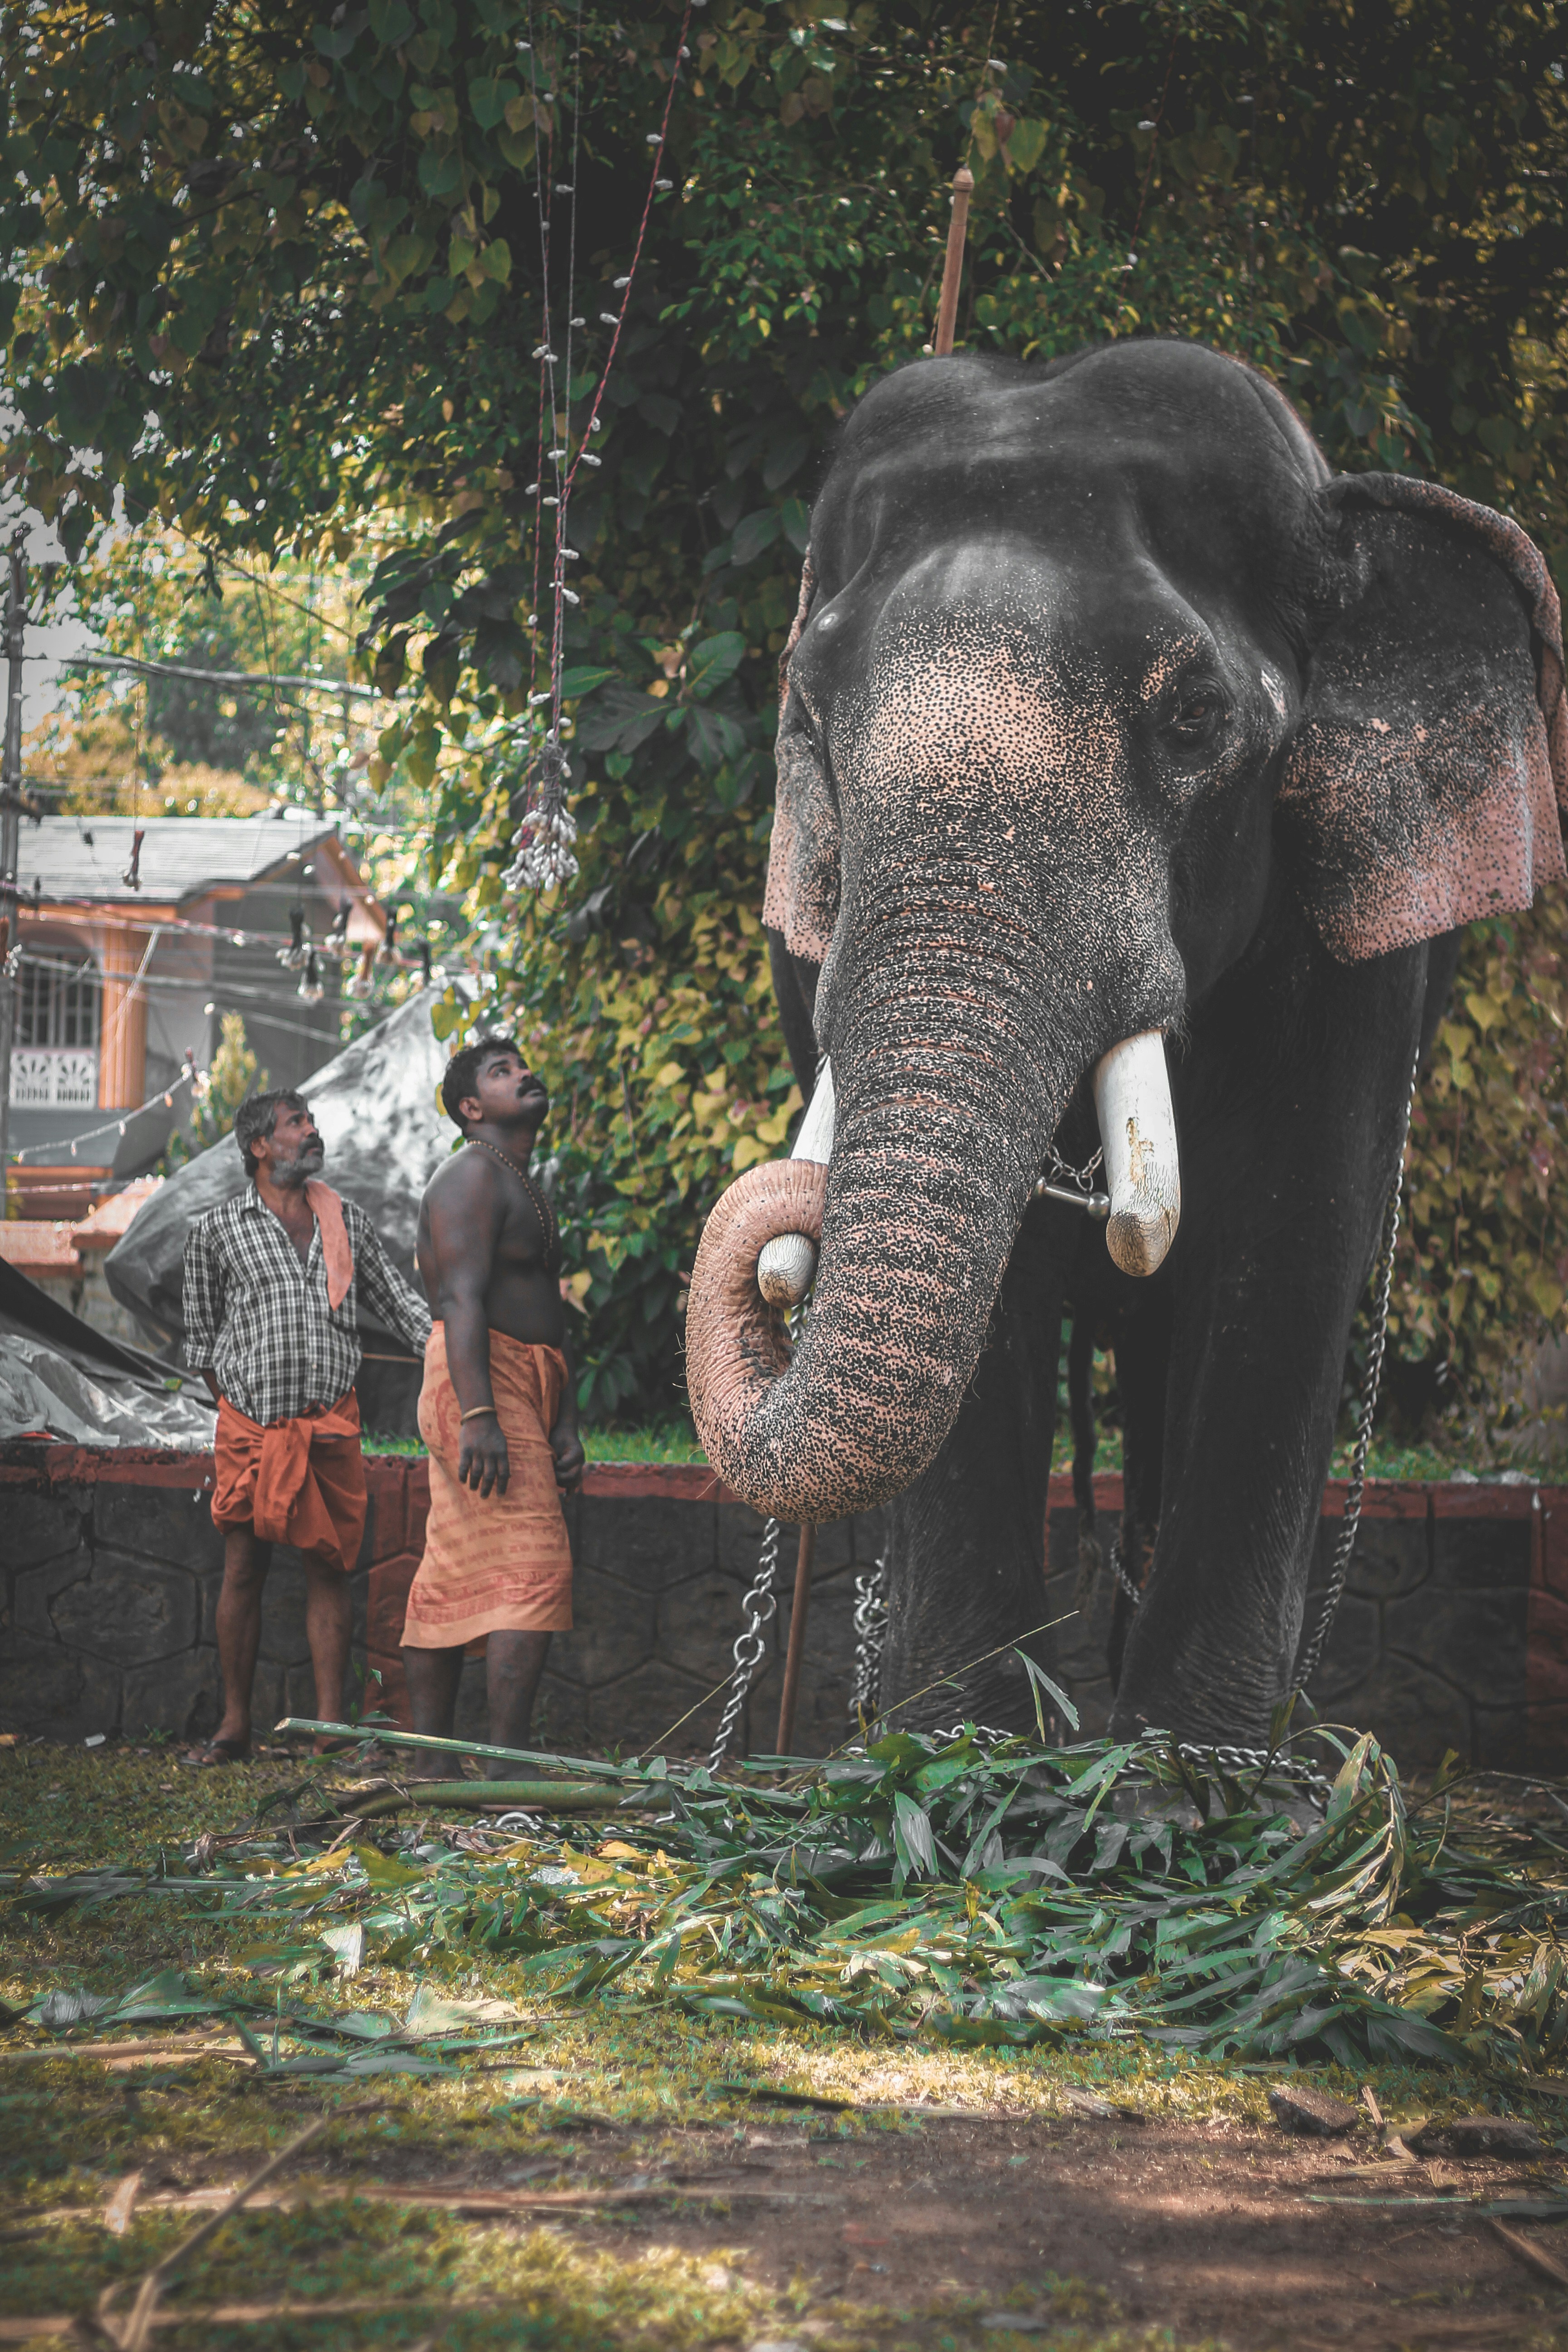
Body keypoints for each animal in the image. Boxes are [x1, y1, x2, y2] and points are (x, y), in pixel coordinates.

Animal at [684, 336, 1567, 1755]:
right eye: (806, 720)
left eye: (1197, 720)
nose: (776, 1235)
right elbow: (995, 1303)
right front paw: (963, 1752)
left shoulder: (1350, 943)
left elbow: (1290, 1231)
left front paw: (1187, 1766)